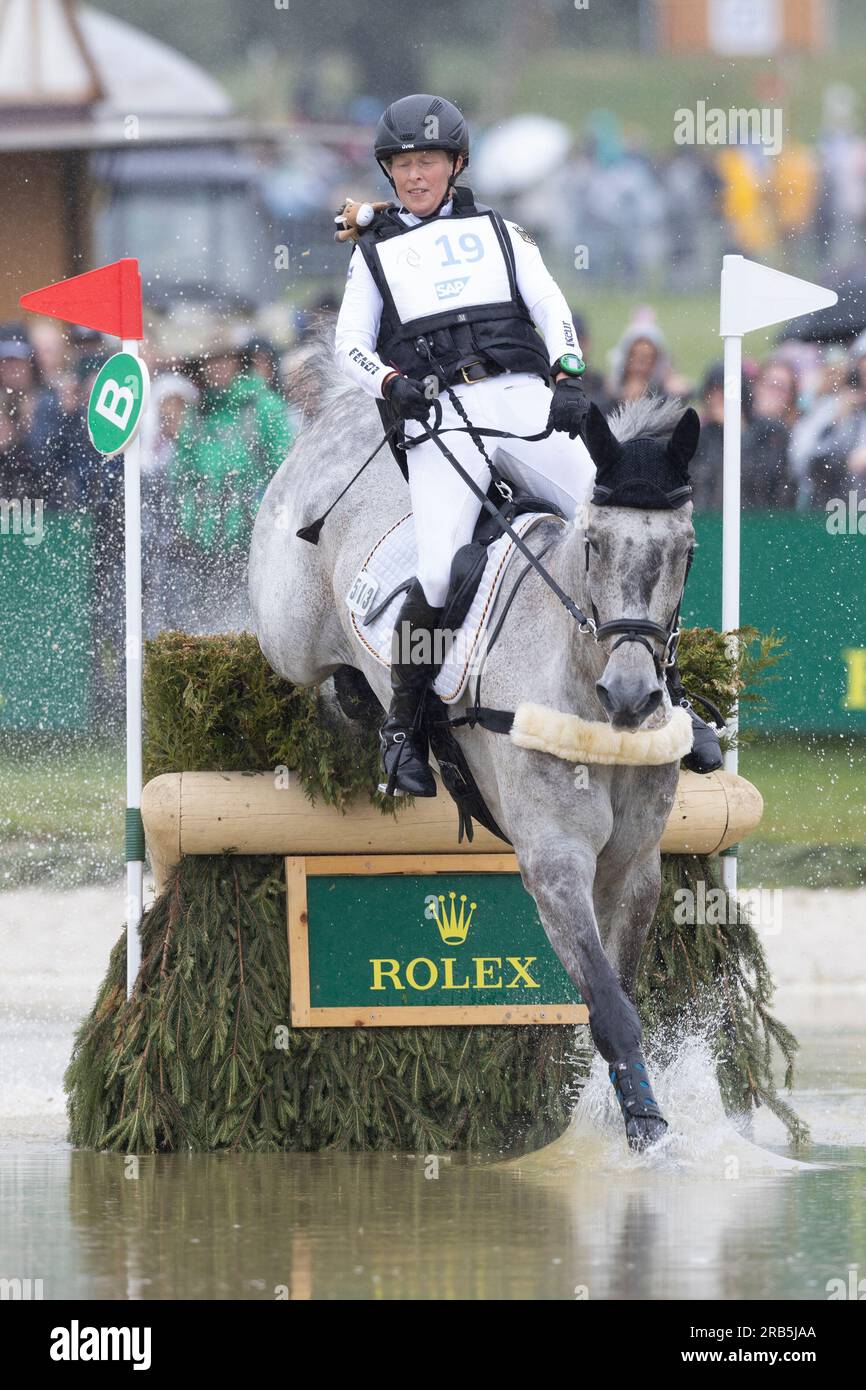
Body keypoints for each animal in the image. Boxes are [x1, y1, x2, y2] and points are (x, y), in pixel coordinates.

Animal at [248, 350, 697, 1150]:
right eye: (593, 545)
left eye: (685, 554)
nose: (631, 696)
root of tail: (342, 415)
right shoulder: (553, 861)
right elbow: (610, 1009)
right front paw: (646, 1135)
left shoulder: (635, 866)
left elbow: (618, 991)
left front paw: (627, 1114)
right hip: (287, 630)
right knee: (314, 662)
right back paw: (379, 721)